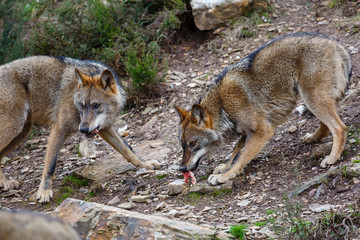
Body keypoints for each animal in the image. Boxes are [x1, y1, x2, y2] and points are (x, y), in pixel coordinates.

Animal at [0, 55, 160, 202]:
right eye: (82, 105)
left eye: (96, 105)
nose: (82, 130)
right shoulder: (59, 129)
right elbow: (51, 165)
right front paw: (44, 192)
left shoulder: (104, 128)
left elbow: (128, 149)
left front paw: (145, 164)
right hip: (14, 128)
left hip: (21, 133)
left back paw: (4, 183)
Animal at [174, 31, 352, 186]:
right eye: (183, 144)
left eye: (193, 143)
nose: (181, 168)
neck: (222, 106)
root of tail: (336, 44)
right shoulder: (245, 132)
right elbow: (235, 153)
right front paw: (224, 168)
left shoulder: (262, 130)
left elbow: (241, 156)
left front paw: (225, 175)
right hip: (313, 101)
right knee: (326, 126)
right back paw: (313, 139)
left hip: (312, 99)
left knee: (339, 128)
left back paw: (332, 158)